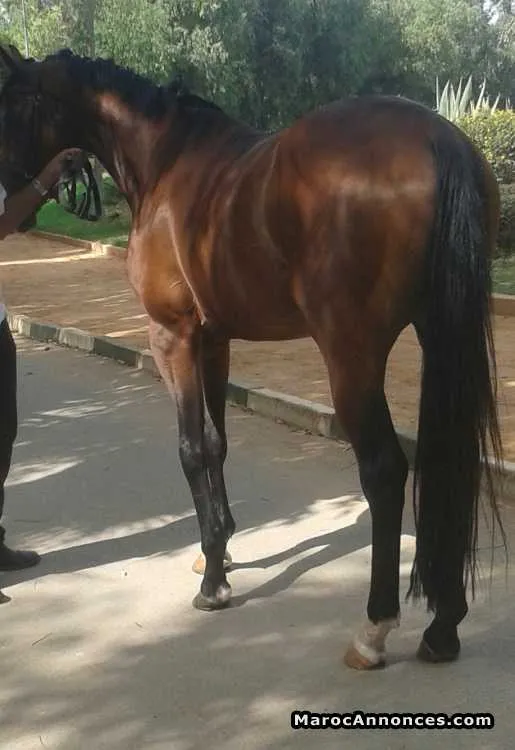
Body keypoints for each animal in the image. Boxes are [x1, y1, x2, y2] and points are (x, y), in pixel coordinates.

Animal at [0, 45, 506, 670]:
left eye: (9, 104)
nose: (9, 200)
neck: (166, 160)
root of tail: (439, 137)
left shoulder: (172, 337)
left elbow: (191, 449)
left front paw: (212, 584)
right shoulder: (214, 339)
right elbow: (217, 443)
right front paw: (219, 550)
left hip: (352, 355)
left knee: (386, 470)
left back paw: (374, 629)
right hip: (438, 334)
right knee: (448, 458)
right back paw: (443, 627)